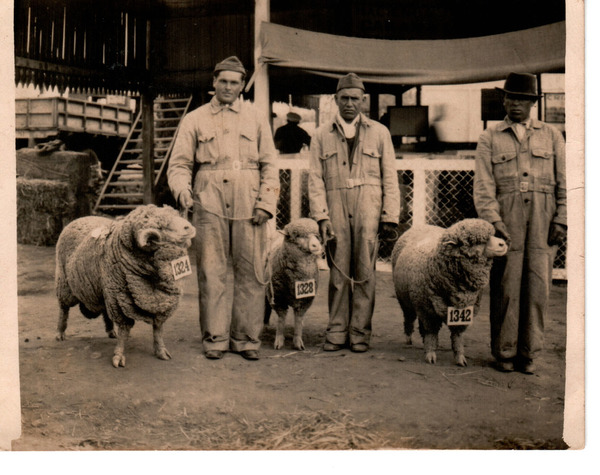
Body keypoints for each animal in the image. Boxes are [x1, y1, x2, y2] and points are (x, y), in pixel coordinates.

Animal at [54, 205, 196, 368]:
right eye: (161, 227)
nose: (188, 227)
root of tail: (80, 218)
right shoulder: (120, 298)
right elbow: (124, 329)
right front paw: (119, 355)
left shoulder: (161, 303)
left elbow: (158, 328)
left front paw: (161, 351)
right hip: (65, 283)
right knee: (64, 308)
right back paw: (60, 332)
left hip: (104, 289)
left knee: (104, 310)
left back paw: (110, 331)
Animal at [264, 218, 324, 350]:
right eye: (297, 235)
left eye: (317, 235)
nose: (316, 245)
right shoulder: (278, 298)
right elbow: (281, 320)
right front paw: (279, 340)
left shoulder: (305, 300)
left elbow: (298, 319)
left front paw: (297, 341)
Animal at [392, 219, 508, 368]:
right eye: (476, 242)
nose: (503, 244)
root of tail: (423, 225)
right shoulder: (427, 311)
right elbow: (431, 332)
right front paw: (430, 354)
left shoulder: (463, 312)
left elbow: (457, 336)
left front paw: (460, 357)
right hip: (405, 299)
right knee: (409, 318)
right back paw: (408, 338)